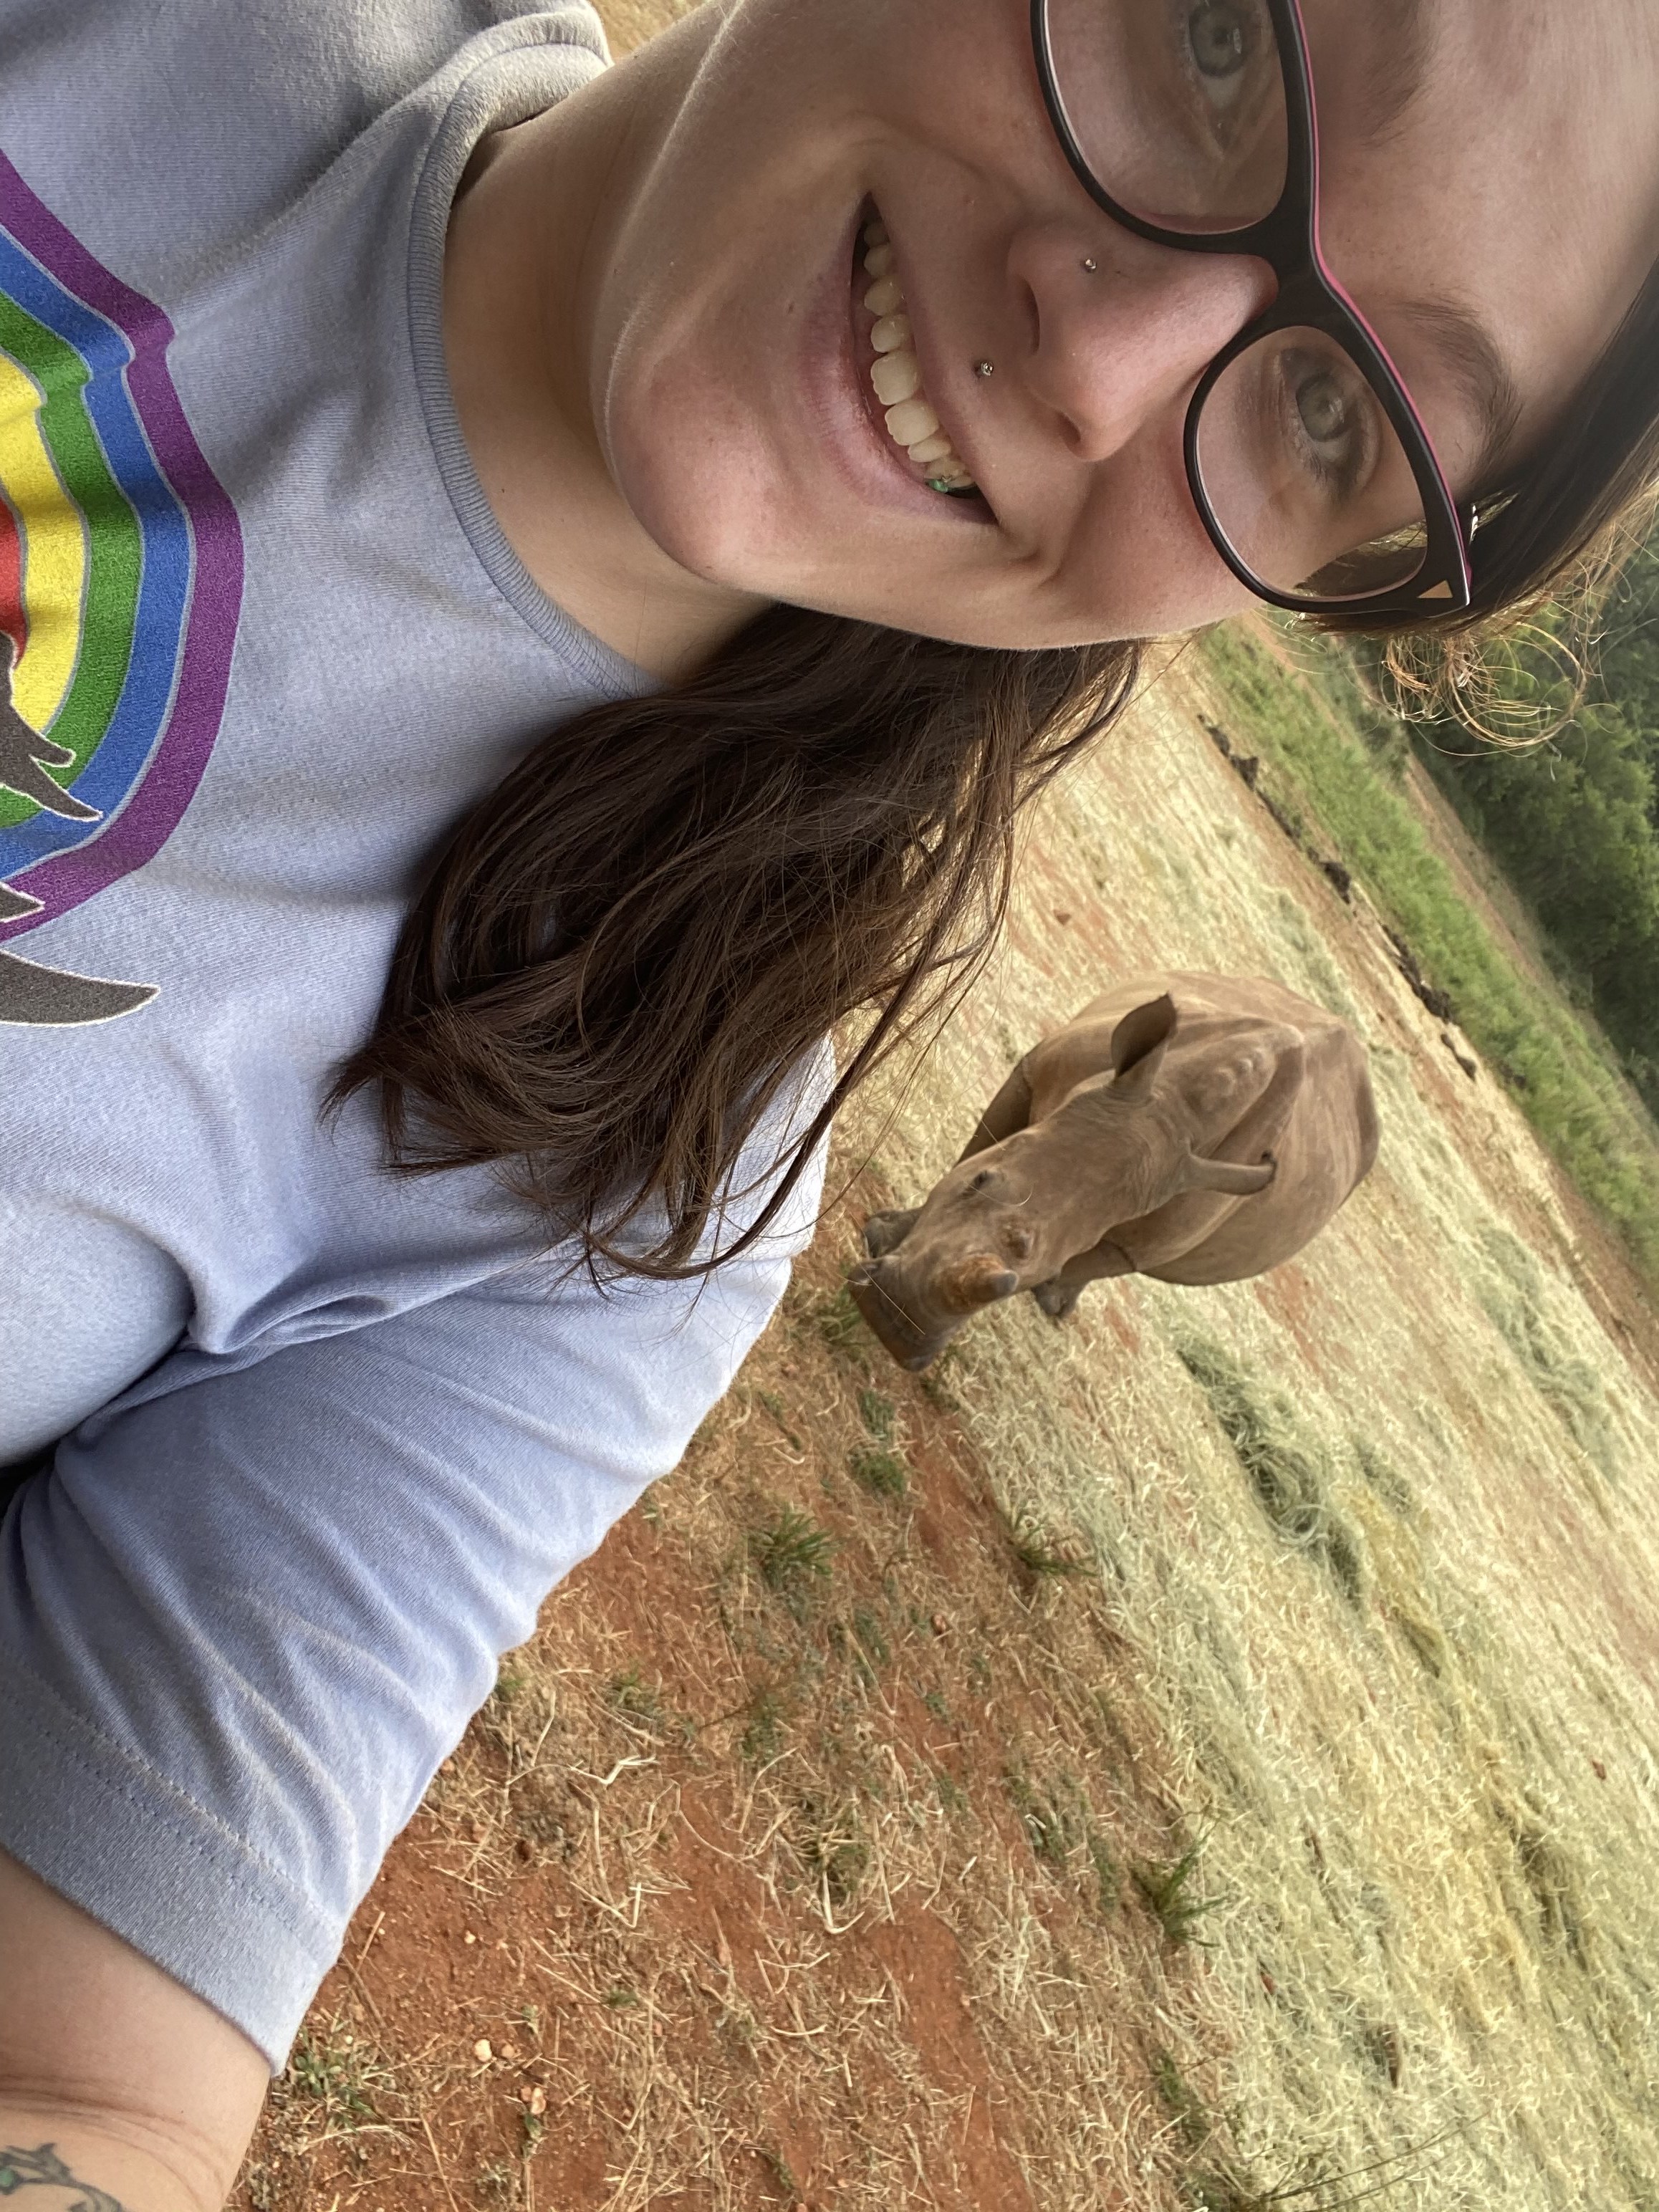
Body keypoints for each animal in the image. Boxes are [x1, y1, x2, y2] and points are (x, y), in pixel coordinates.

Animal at [849, 972, 1378, 1370]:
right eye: (981, 1182)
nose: (891, 1323)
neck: (1176, 1108)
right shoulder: (1032, 1073)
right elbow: (979, 1145)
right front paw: (885, 1233)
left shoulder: (1159, 1218)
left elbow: (1110, 1253)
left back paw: (1055, 1304)